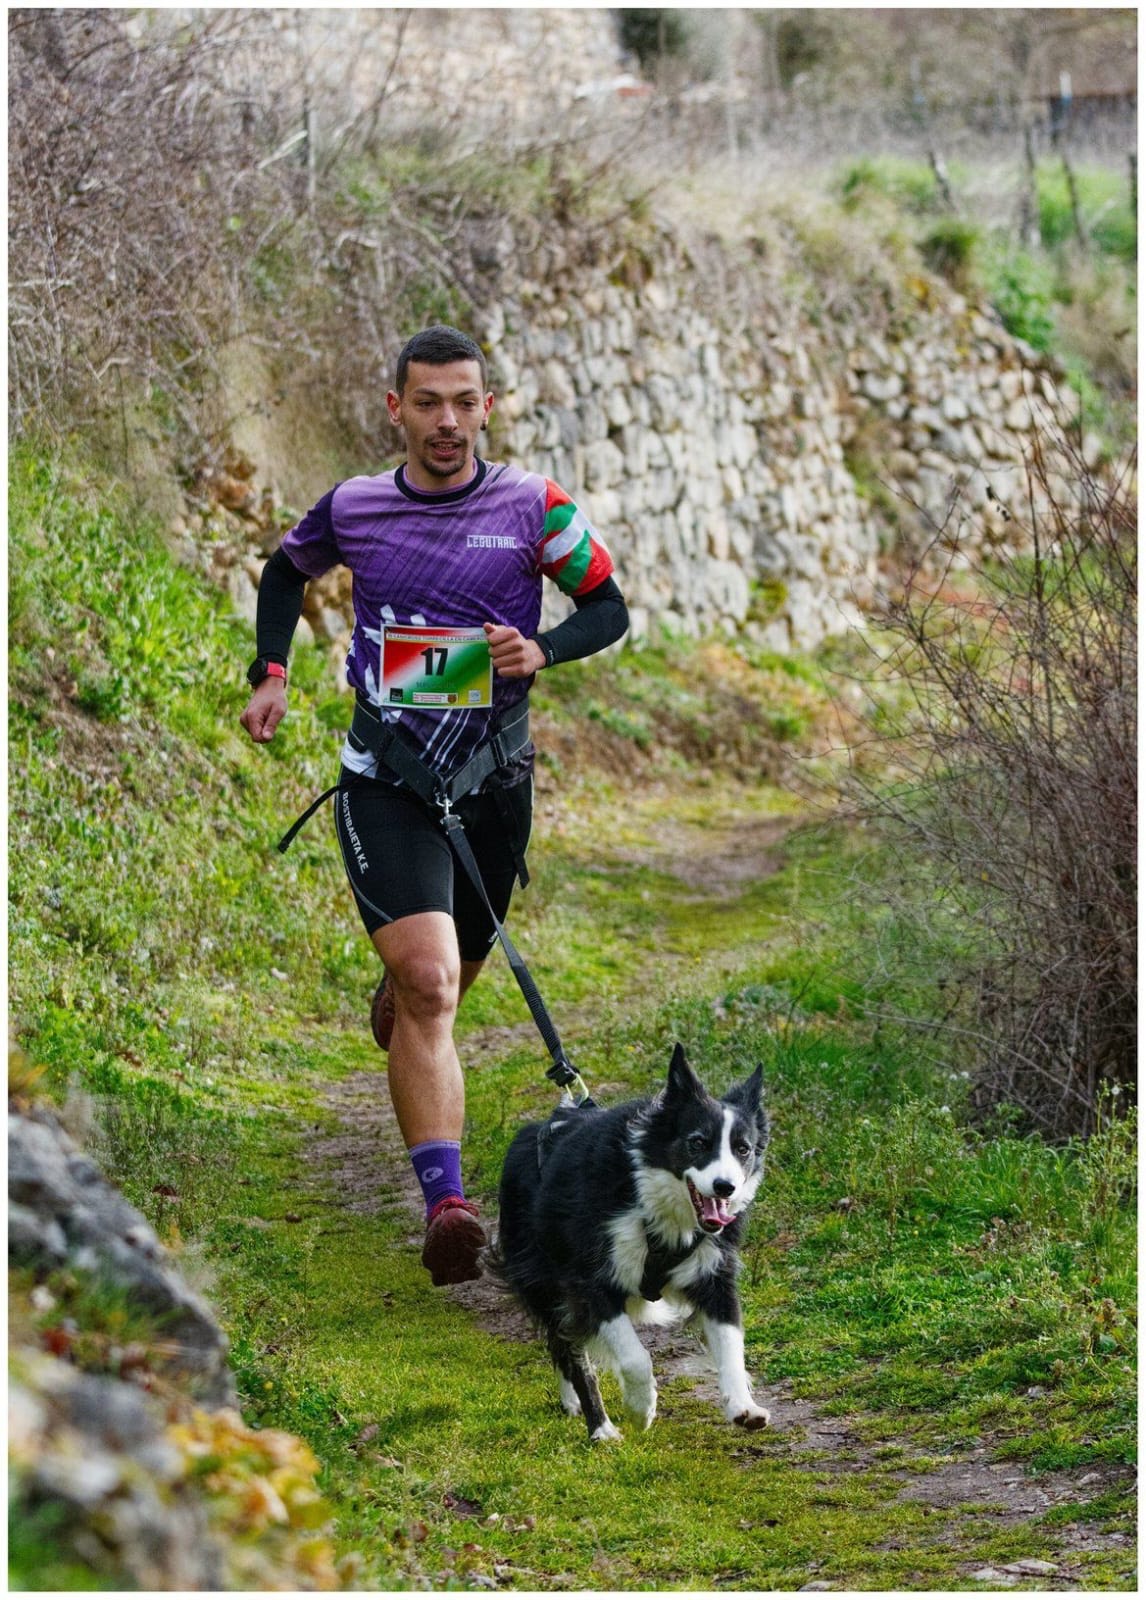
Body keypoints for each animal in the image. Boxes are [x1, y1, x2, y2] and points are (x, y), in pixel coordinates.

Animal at [492, 1043, 771, 1446]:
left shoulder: (714, 1272)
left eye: (743, 1149)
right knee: (568, 1348)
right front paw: (641, 1410)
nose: (725, 1187)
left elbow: (732, 1342)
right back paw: (599, 1425)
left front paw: (743, 1407)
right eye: (697, 1142)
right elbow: (635, 1356)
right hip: (541, 1274)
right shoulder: (588, 1277)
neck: (653, 1198)